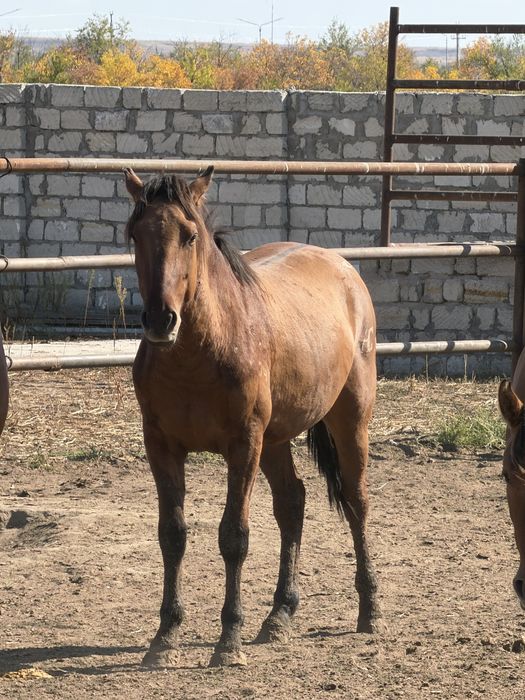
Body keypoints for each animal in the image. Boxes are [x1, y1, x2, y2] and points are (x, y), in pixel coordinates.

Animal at [124, 166, 381, 667]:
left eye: (189, 235)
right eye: (134, 234)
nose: (160, 320)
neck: (200, 352)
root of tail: (344, 269)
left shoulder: (243, 445)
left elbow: (234, 537)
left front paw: (228, 640)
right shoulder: (161, 446)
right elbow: (173, 535)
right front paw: (165, 636)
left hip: (349, 420)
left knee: (356, 501)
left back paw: (369, 610)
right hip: (276, 440)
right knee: (292, 503)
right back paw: (280, 614)